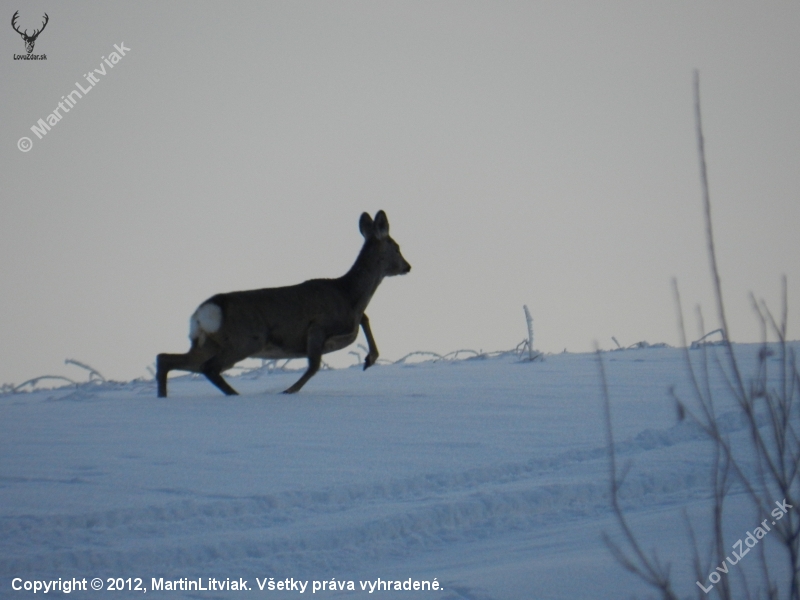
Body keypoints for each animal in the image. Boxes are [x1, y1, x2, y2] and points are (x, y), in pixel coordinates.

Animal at [156, 211, 411, 397]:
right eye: (397, 247)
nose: (408, 266)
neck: (349, 296)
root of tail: (205, 311)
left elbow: (365, 319)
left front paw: (370, 359)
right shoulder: (317, 326)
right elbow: (314, 366)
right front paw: (288, 391)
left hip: (206, 343)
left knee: (166, 358)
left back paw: (164, 396)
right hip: (246, 340)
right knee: (208, 368)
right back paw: (235, 395)